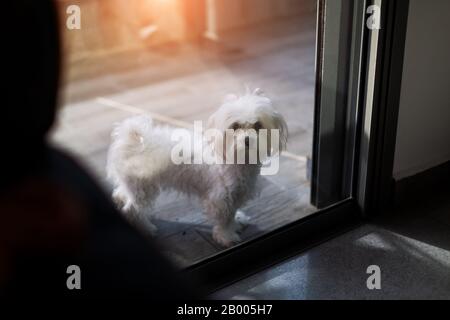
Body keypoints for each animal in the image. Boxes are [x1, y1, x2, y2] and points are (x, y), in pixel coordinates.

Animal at [107, 89, 286, 246]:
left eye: (258, 125)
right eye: (235, 126)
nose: (248, 140)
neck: (237, 159)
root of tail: (132, 138)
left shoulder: (236, 195)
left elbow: (232, 213)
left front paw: (236, 221)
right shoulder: (220, 198)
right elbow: (224, 219)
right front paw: (226, 236)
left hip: (134, 184)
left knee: (124, 193)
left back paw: (120, 199)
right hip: (143, 188)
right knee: (132, 210)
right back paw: (146, 229)